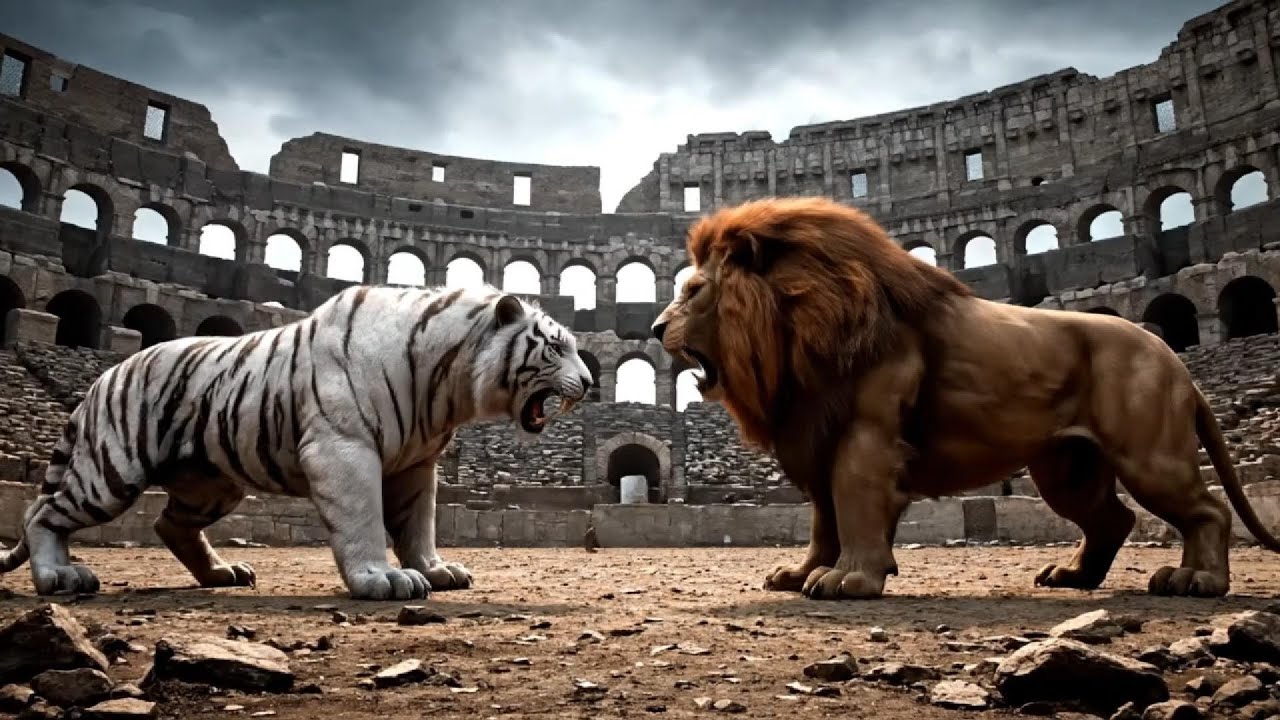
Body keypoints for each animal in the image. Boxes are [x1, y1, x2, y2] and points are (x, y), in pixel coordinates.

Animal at [0, 284, 594, 601]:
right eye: (556, 348)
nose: (590, 382)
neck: (449, 380)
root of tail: (102, 378)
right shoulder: (345, 450)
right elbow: (364, 520)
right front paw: (383, 578)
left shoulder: (417, 463)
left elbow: (417, 521)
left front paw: (433, 569)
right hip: (111, 471)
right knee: (42, 513)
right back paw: (59, 575)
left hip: (211, 484)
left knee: (169, 523)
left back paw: (221, 574)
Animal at [651, 196, 1280, 600]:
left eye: (695, 290)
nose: (656, 328)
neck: (795, 327)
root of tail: (1174, 357)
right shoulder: (816, 435)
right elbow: (823, 519)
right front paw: (799, 573)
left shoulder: (865, 438)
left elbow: (853, 505)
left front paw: (848, 581)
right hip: (1067, 469)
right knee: (1115, 518)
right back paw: (1073, 576)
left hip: (1149, 456)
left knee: (1208, 510)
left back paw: (1197, 582)